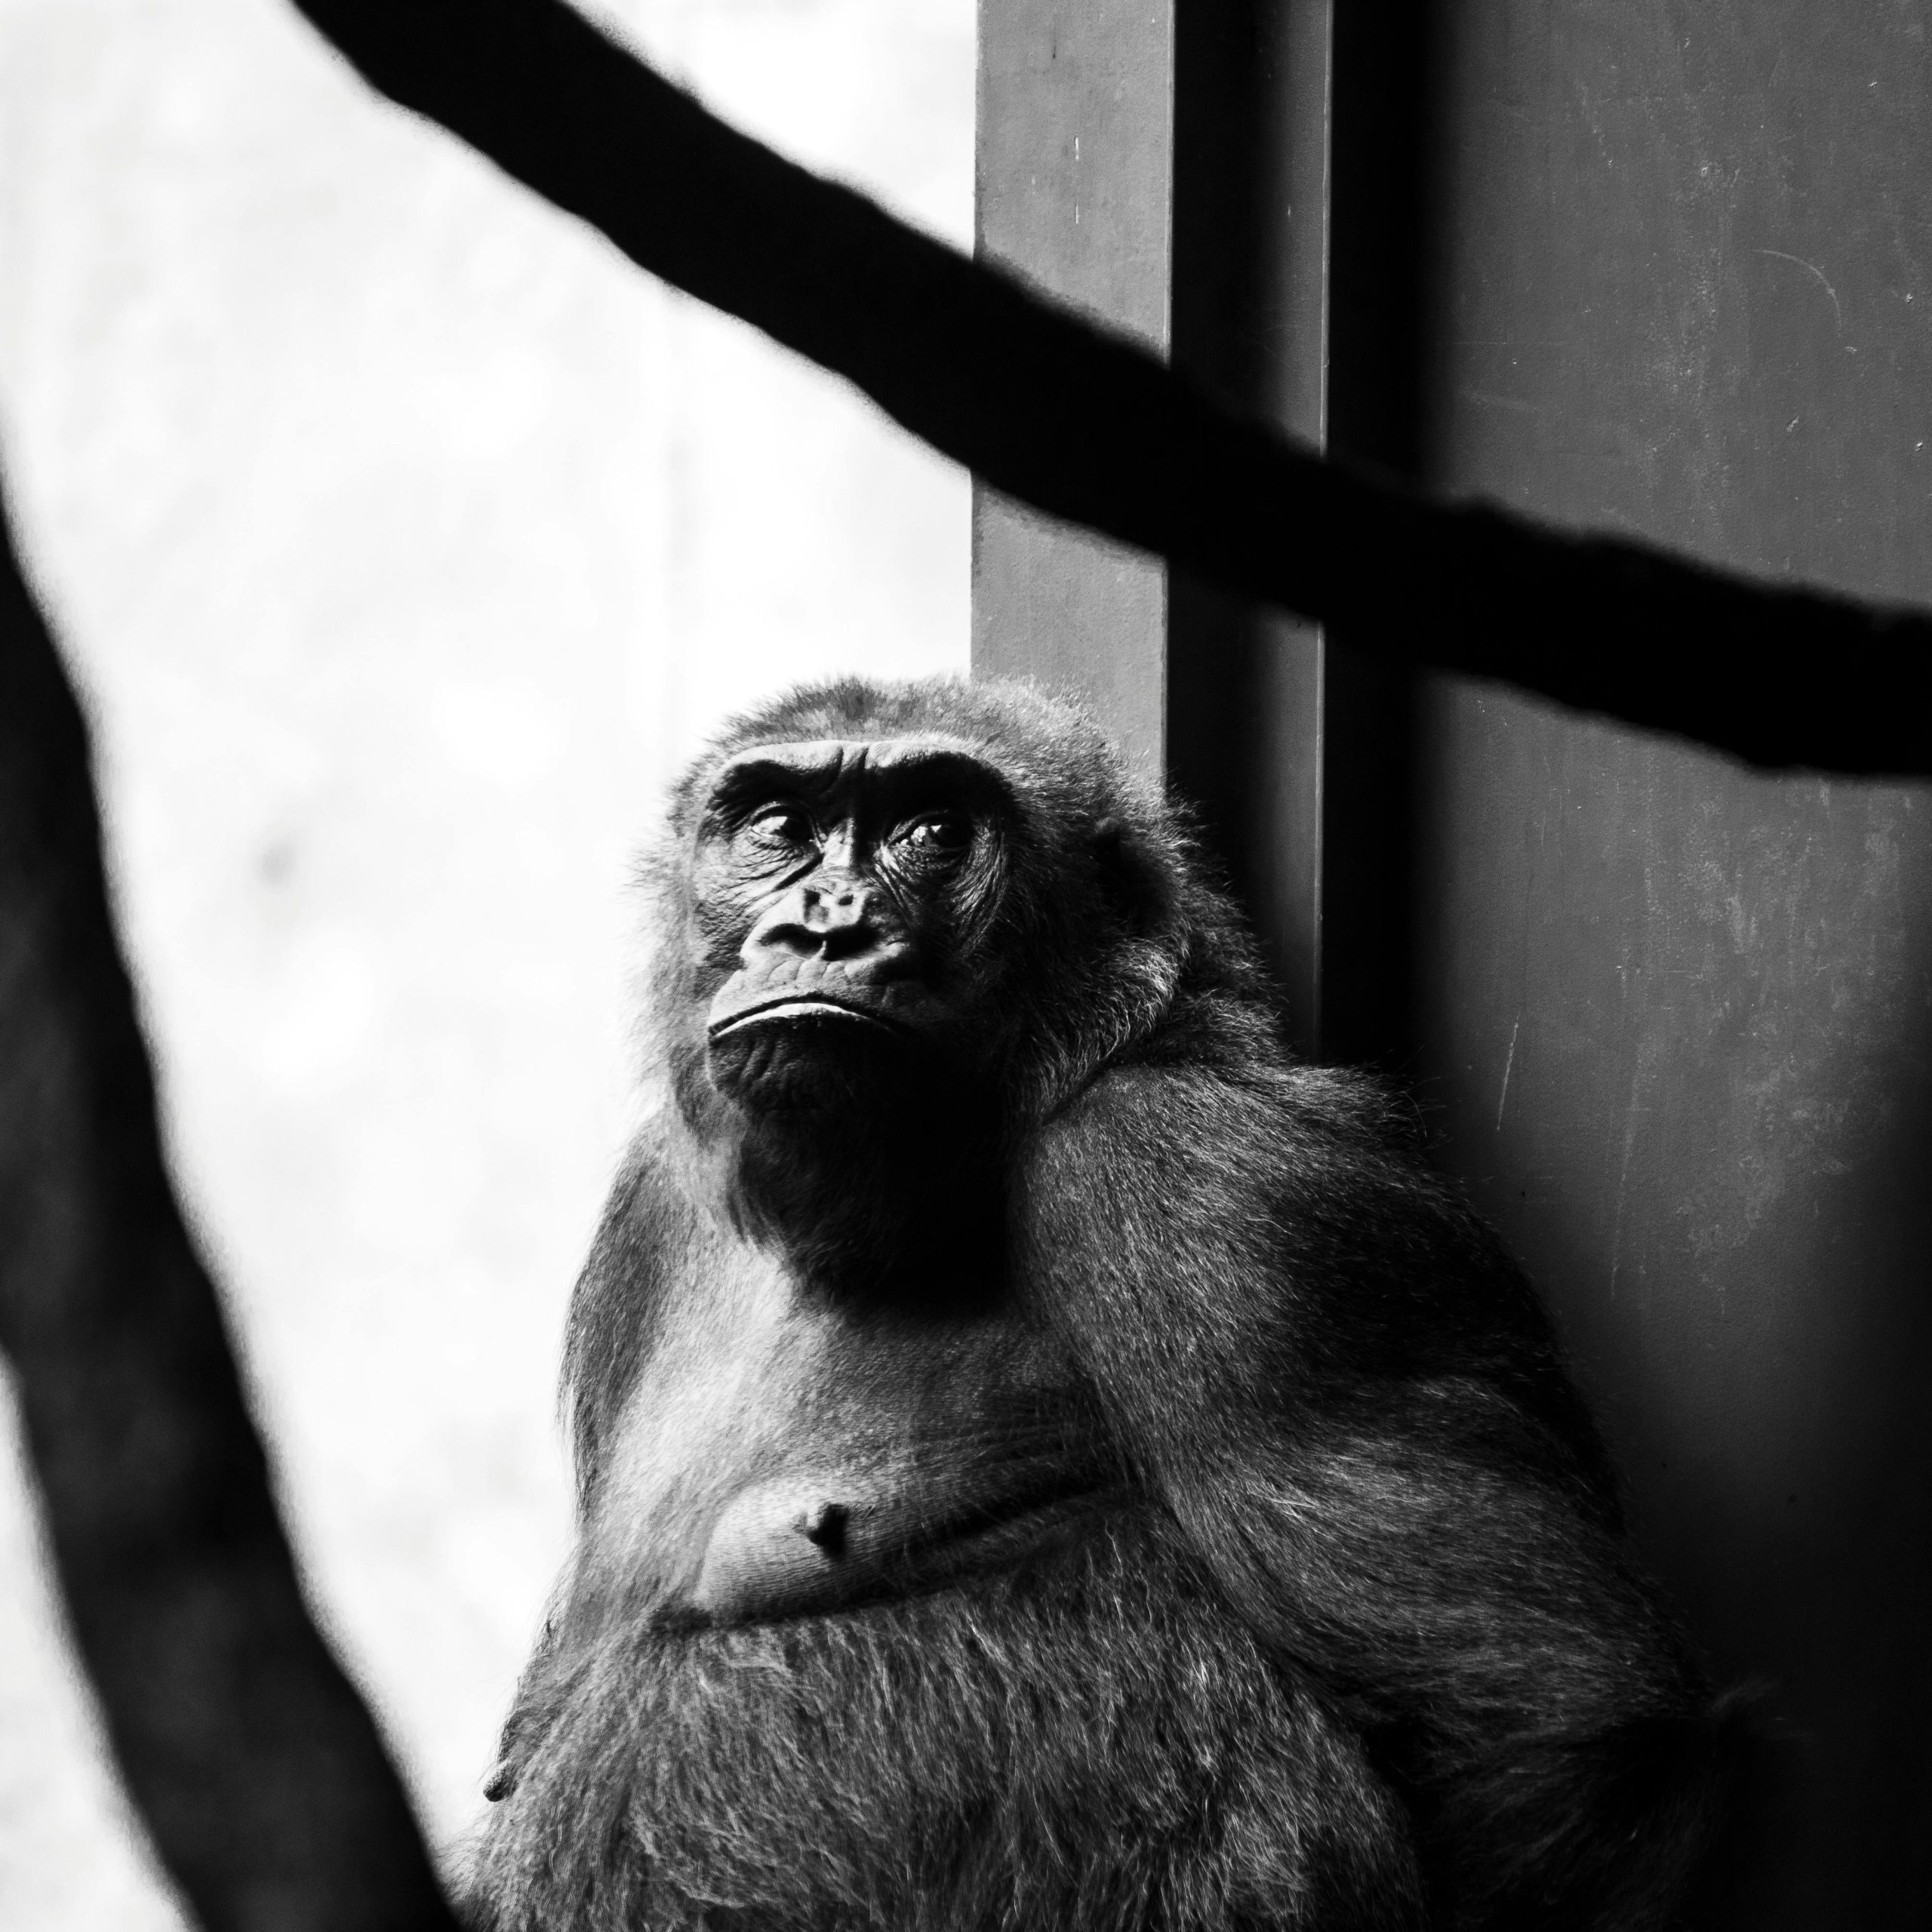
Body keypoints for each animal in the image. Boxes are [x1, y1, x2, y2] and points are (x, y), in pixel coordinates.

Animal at [464, 675, 1737, 1932]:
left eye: (934, 833)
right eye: (775, 826)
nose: (826, 924)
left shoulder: (1212, 1181)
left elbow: (1542, 1707)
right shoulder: (645, 1213)